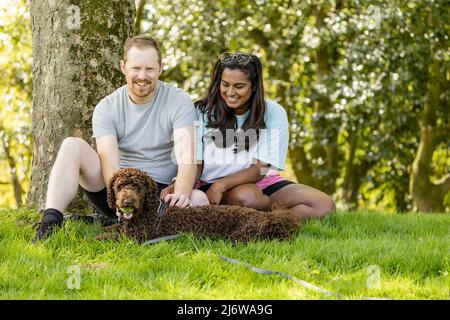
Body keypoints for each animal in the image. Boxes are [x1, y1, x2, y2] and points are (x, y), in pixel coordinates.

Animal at [99, 168, 302, 242]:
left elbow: (106, 237)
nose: (127, 202)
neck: (147, 214)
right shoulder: (124, 229)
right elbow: (112, 228)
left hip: (242, 235)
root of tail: (266, 216)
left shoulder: (135, 238)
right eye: (120, 187)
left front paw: (95, 237)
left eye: (137, 187)